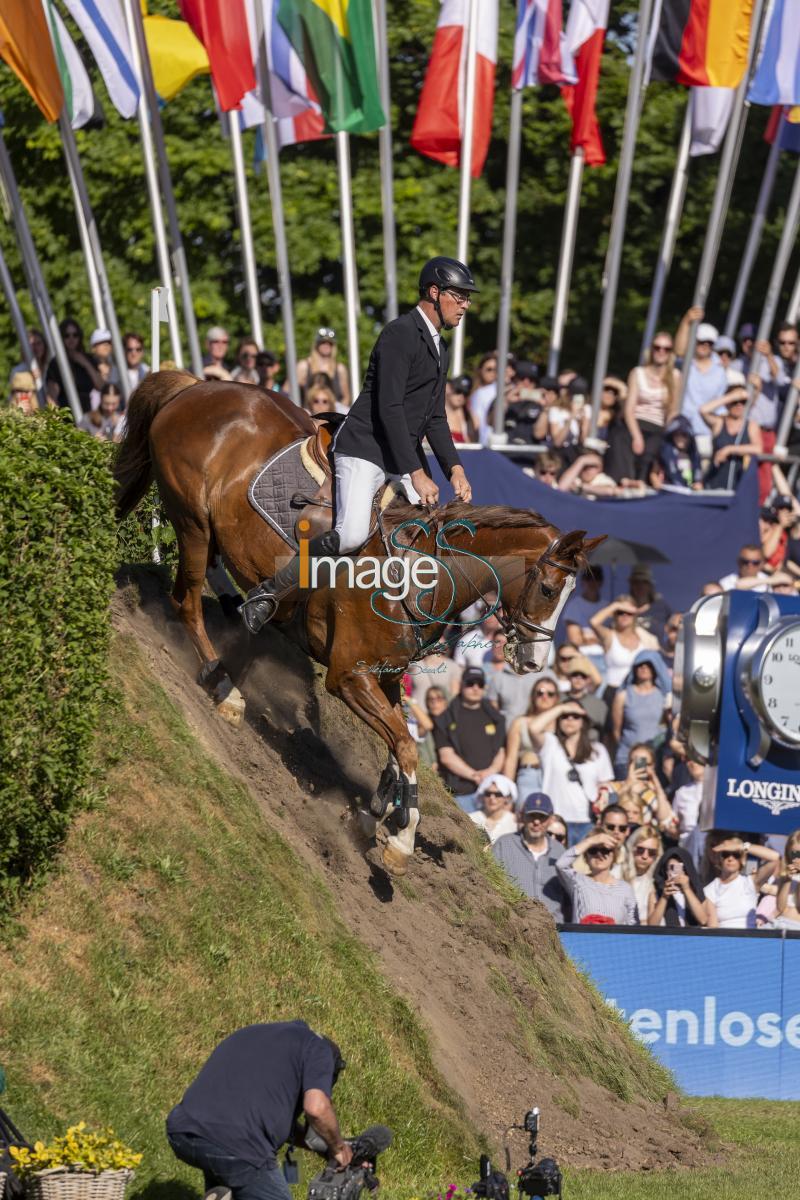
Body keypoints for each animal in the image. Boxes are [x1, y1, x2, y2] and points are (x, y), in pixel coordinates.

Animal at [110, 369, 599, 878]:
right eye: (549, 590)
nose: (533, 661)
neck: (418, 573)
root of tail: (196, 385)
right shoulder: (350, 677)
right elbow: (405, 746)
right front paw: (400, 838)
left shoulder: (386, 677)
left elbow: (396, 750)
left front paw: (376, 812)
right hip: (193, 523)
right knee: (185, 600)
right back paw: (224, 687)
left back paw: (245, 614)